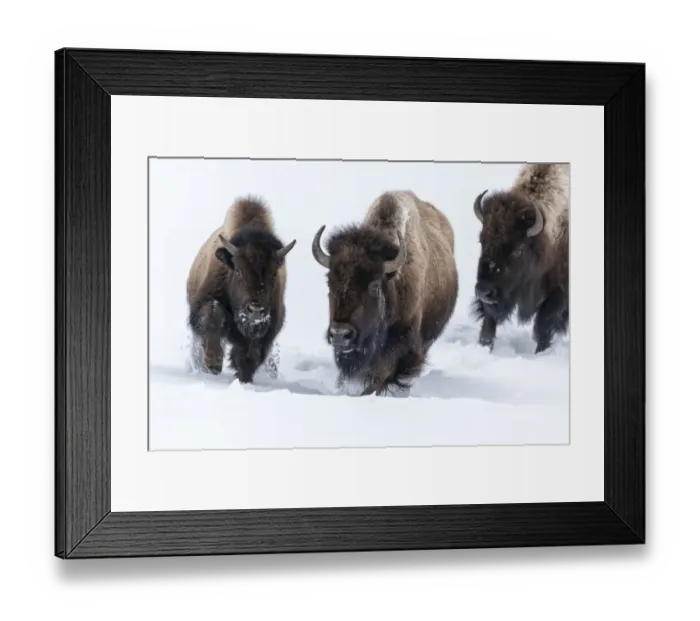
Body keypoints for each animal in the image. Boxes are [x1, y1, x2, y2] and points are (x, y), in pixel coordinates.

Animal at [186, 197, 296, 382]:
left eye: (274, 274)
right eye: (238, 270)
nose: (255, 310)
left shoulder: (267, 326)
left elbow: (251, 350)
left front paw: (244, 378)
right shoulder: (204, 303)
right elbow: (214, 314)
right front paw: (213, 363)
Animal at [472, 163, 569, 353]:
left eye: (518, 249)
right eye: (481, 240)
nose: (483, 291)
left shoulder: (559, 293)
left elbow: (543, 323)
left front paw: (541, 352)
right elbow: (489, 319)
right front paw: (484, 345)